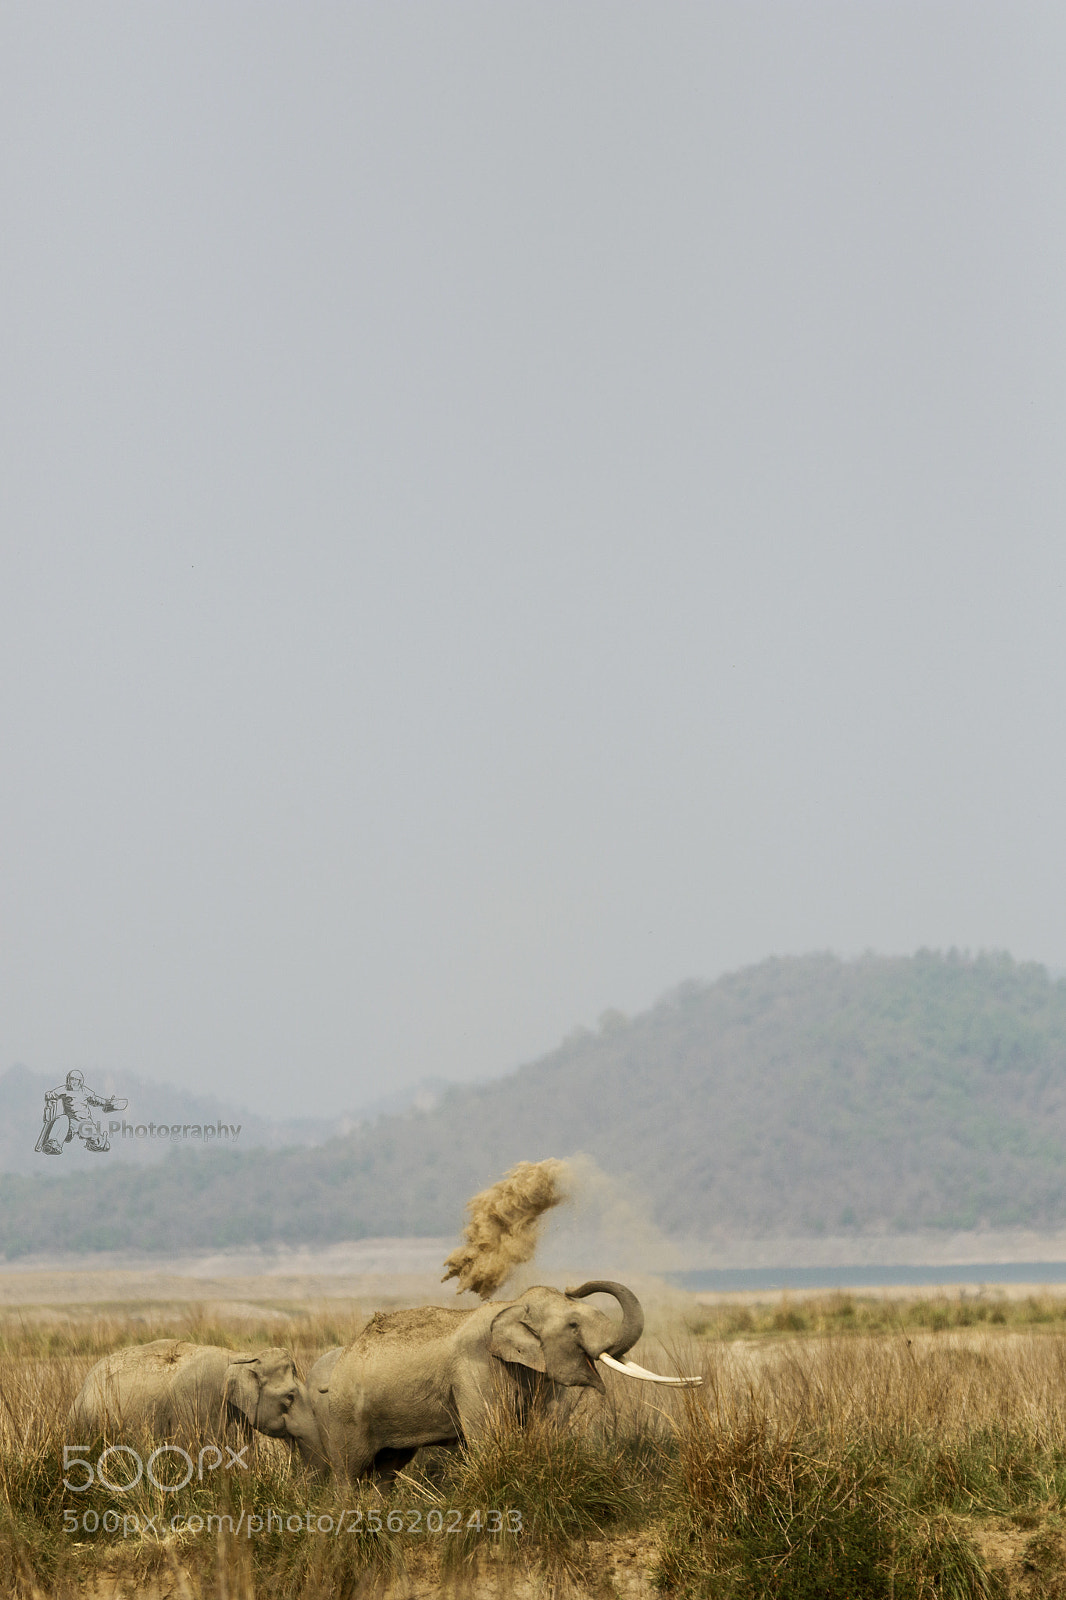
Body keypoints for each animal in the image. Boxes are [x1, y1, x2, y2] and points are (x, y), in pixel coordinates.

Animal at [323, 1280, 701, 1481]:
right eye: (573, 1326)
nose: (573, 1286)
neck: (513, 1304)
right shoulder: (475, 1368)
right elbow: (488, 1436)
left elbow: (545, 1426)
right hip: (345, 1415)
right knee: (350, 1470)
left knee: (387, 1469)